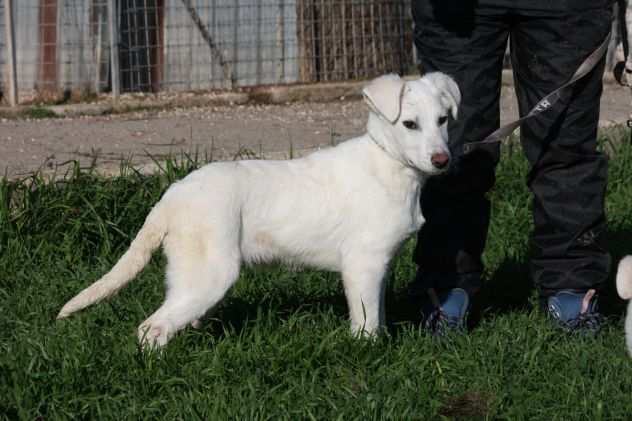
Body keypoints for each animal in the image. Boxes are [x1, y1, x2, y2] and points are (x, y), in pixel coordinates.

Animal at [56, 73, 460, 348]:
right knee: (151, 328)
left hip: (191, 277)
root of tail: (171, 197)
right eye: (409, 124)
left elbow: (378, 313)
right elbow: (366, 324)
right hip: (210, 274)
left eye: (443, 120)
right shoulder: (363, 264)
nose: (443, 160)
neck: (389, 163)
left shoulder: (380, 265)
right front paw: (368, 352)